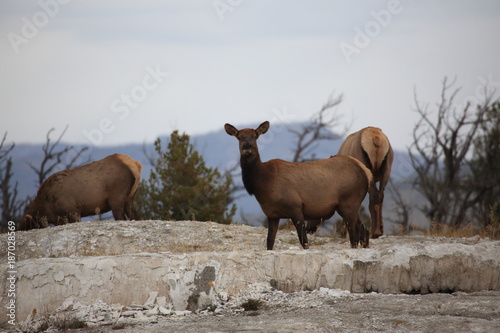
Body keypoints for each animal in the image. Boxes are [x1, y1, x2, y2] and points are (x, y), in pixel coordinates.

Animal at [225, 120, 374, 248]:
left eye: (255, 136)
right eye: (239, 137)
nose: (247, 147)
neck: (262, 183)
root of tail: (365, 171)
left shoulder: (295, 206)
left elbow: (304, 242)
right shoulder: (272, 214)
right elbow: (269, 242)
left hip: (349, 201)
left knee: (354, 237)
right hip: (349, 205)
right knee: (364, 230)